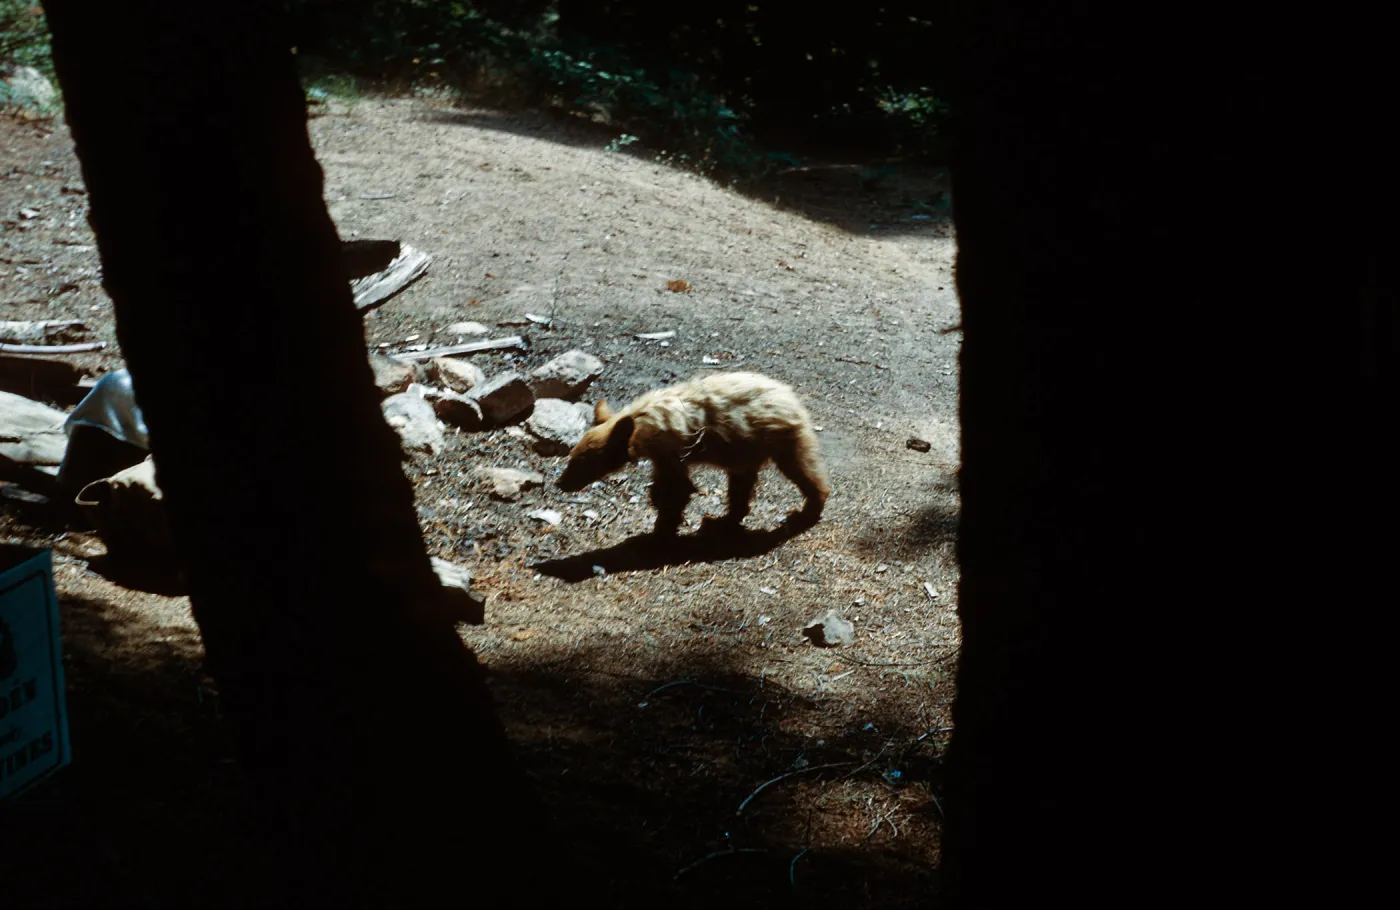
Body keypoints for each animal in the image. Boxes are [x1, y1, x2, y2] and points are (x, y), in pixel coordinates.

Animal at [556, 371, 830, 537]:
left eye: (584, 462)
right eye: (572, 456)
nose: (561, 483)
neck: (643, 422)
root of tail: (793, 399)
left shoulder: (670, 451)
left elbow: (676, 489)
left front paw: (662, 528)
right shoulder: (663, 455)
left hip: (780, 439)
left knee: (801, 469)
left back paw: (809, 508)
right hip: (747, 449)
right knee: (741, 482)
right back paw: (724, 520)